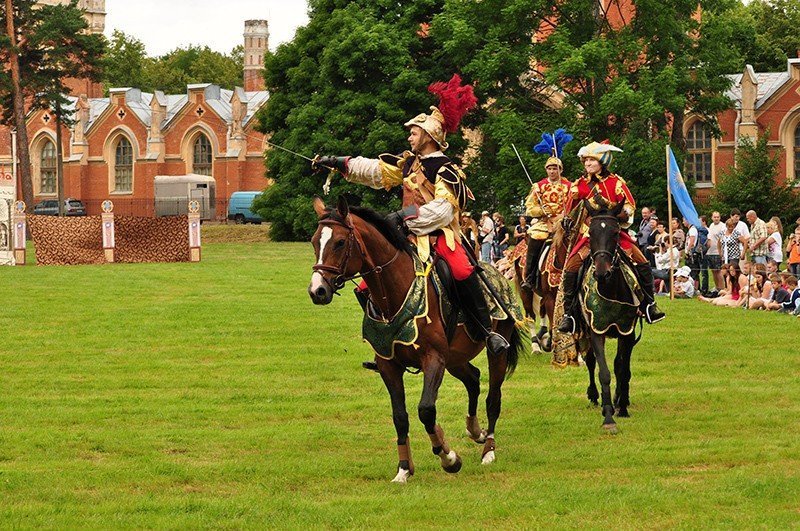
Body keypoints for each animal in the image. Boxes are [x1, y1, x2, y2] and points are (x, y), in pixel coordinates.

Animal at [580, 202, 640, 434]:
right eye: (591, 232)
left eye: (615, 232)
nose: (601, 273)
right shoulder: (596, 330)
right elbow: (603, 371)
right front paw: (608, 416)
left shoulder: (626, 330)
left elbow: (622, 369)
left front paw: (621, 407)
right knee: (592, 362)